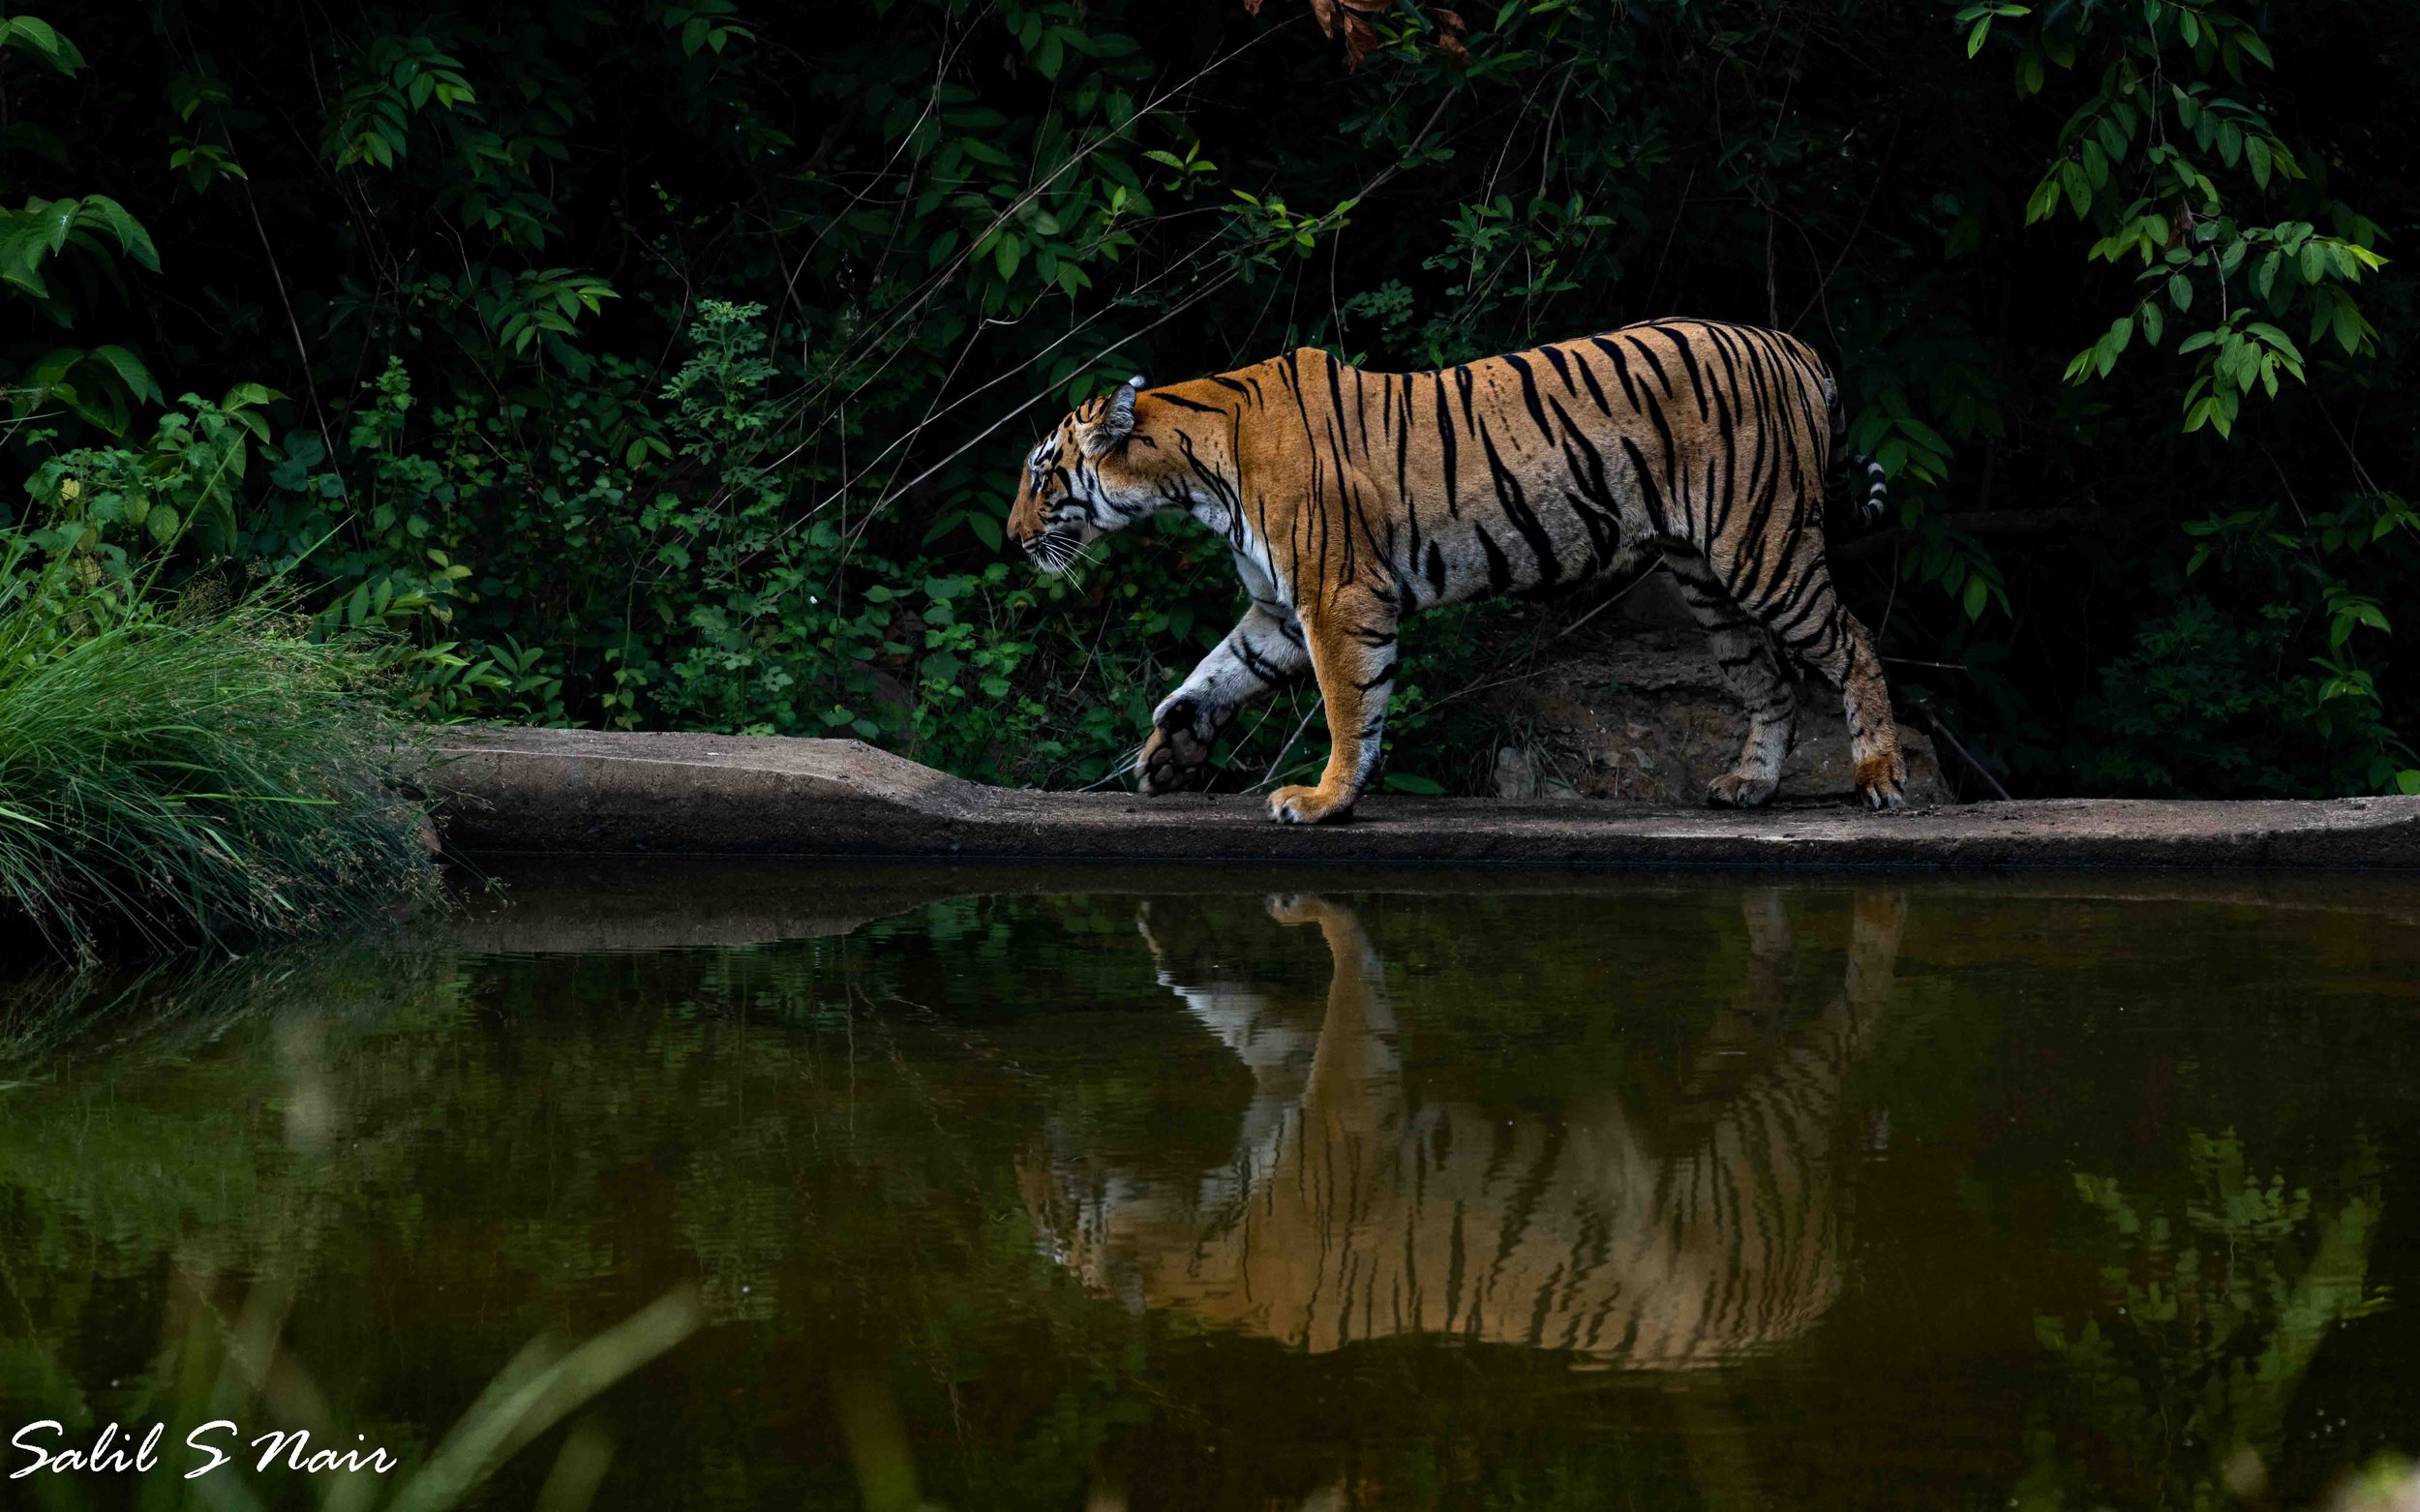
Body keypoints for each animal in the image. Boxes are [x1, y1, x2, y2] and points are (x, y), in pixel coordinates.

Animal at [1004, 318, 1907, 822]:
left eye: (1044, 474)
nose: (1012, 539)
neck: (1195, 476)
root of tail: (1792, 345)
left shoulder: (1339, 597)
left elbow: (1350, 708)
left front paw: (1323, 801)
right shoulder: (1278, 610)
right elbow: (1212, 674)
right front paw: (1169, 755)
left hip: (1761, 546)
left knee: (1855, 642)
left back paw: (1879, 778)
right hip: (1709, 581)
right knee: (1771, 681)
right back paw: (1748, 786)